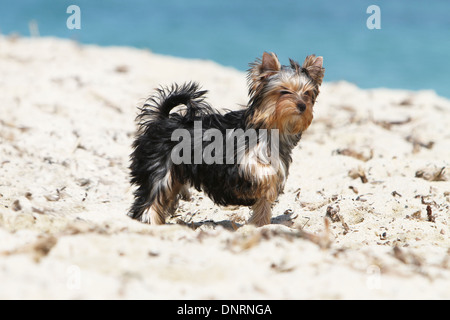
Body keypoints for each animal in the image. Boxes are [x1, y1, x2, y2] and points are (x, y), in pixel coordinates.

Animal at [129, 52, 324, 226]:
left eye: (307, 93)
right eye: (284, 91)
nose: (302, 105)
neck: (271, 128)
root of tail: (162, 119)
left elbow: (263, 204)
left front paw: (260, 225)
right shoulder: (237, 161)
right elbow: (262, 173)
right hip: (160, 166)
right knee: (150, 198)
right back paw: (149, 221)